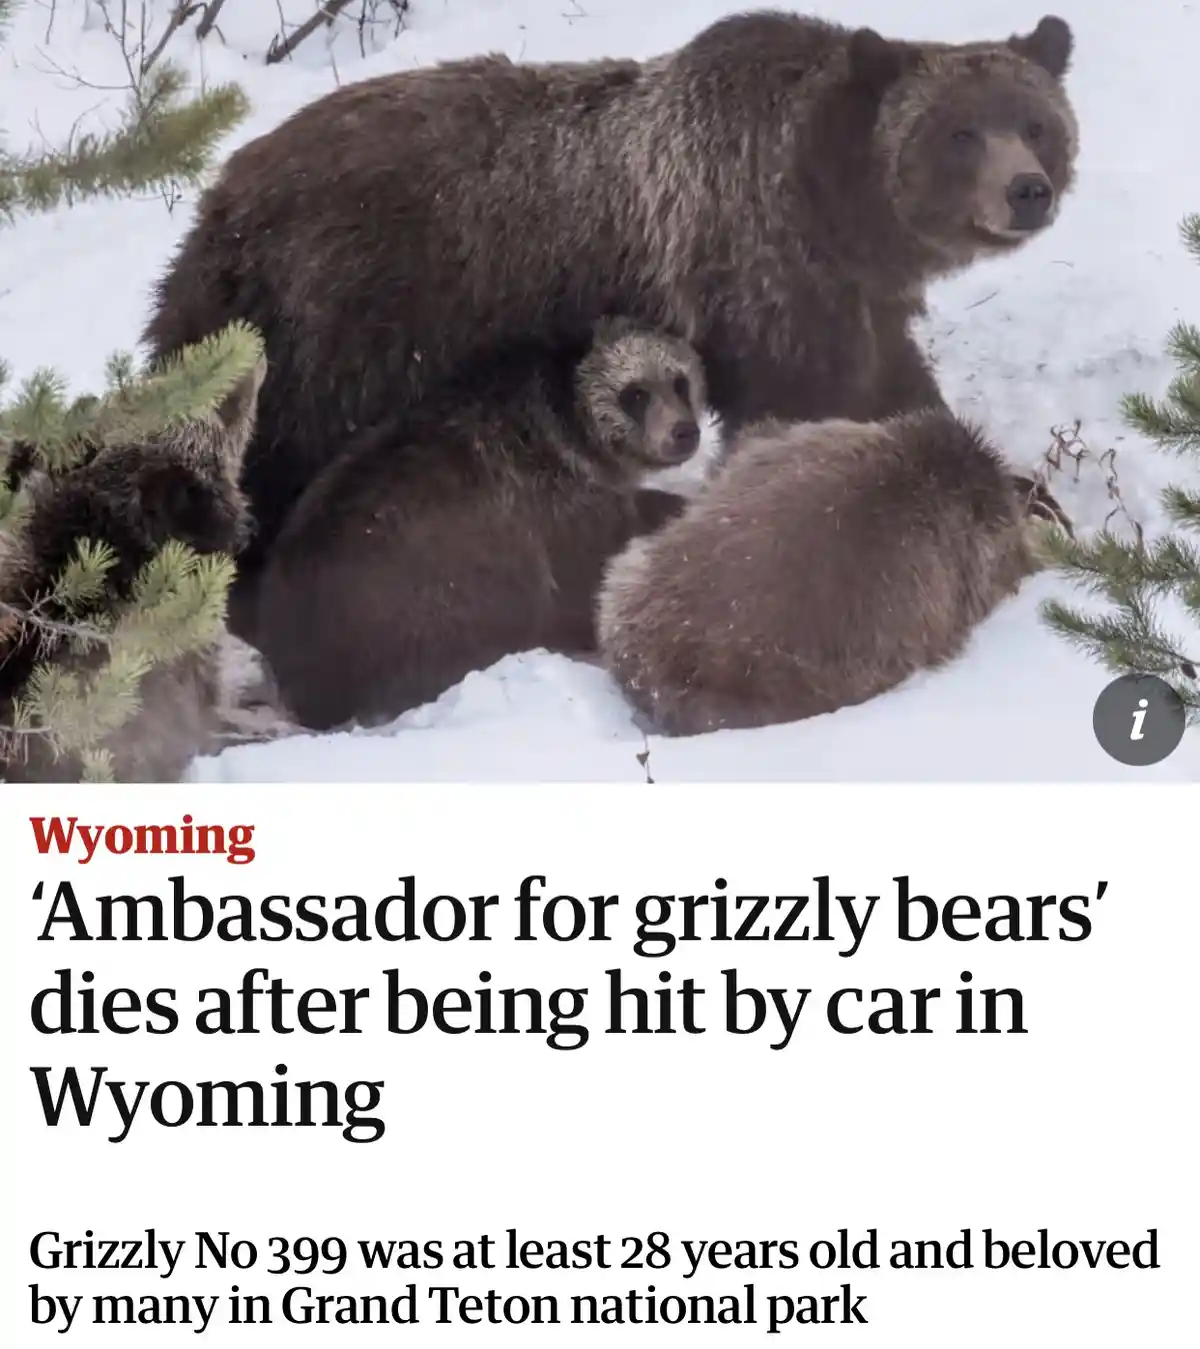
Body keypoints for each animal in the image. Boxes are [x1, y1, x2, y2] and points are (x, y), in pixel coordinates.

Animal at [142, 10, 1078, 623]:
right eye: (960, 134)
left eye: (1036, 122)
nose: (1027, 190)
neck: (834, 205)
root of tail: (220, 202)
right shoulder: (760, 270)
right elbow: (818, 403)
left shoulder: (849, 297)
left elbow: (892, 384)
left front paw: (1029, 492)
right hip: (347, 320)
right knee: (281, 458)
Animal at [251, 317, 707, 732]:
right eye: (636, 393)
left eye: (679, 381)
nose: (684, 432)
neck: (576, 432)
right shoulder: (557, 507)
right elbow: (592, 570)